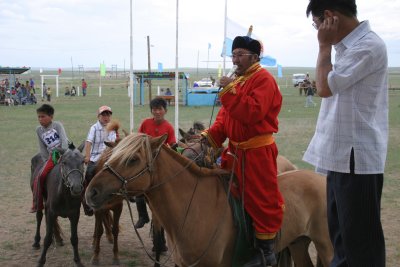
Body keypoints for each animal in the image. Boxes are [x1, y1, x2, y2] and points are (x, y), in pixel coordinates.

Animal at [86, 135, 332, 266]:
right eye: (111, 156)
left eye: (133, 159)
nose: (91, 192)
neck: (192, 206)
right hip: (298, 243)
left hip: (326, 248)